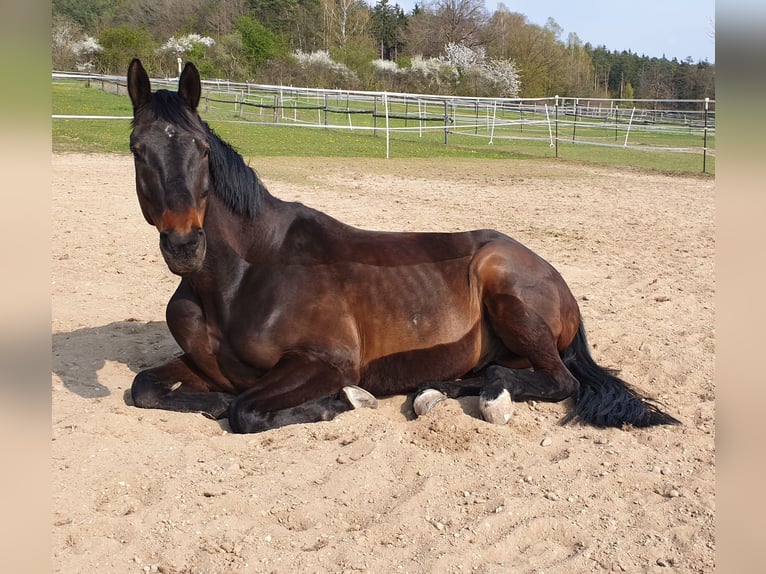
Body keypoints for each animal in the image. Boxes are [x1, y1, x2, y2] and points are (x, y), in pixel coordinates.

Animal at [125, 58, 680, 434]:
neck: (241, 279)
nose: (184, 245)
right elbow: (146, 387)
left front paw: (344, 401)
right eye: (137, 150)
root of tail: (553, 276)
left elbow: (245, 410)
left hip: (508, 292)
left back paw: (488, 399)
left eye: (201, 150)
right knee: (497, 370)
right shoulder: (205, 365)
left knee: (558, 381)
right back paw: (436, 392)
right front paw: (209, 401)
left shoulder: (327, 362)